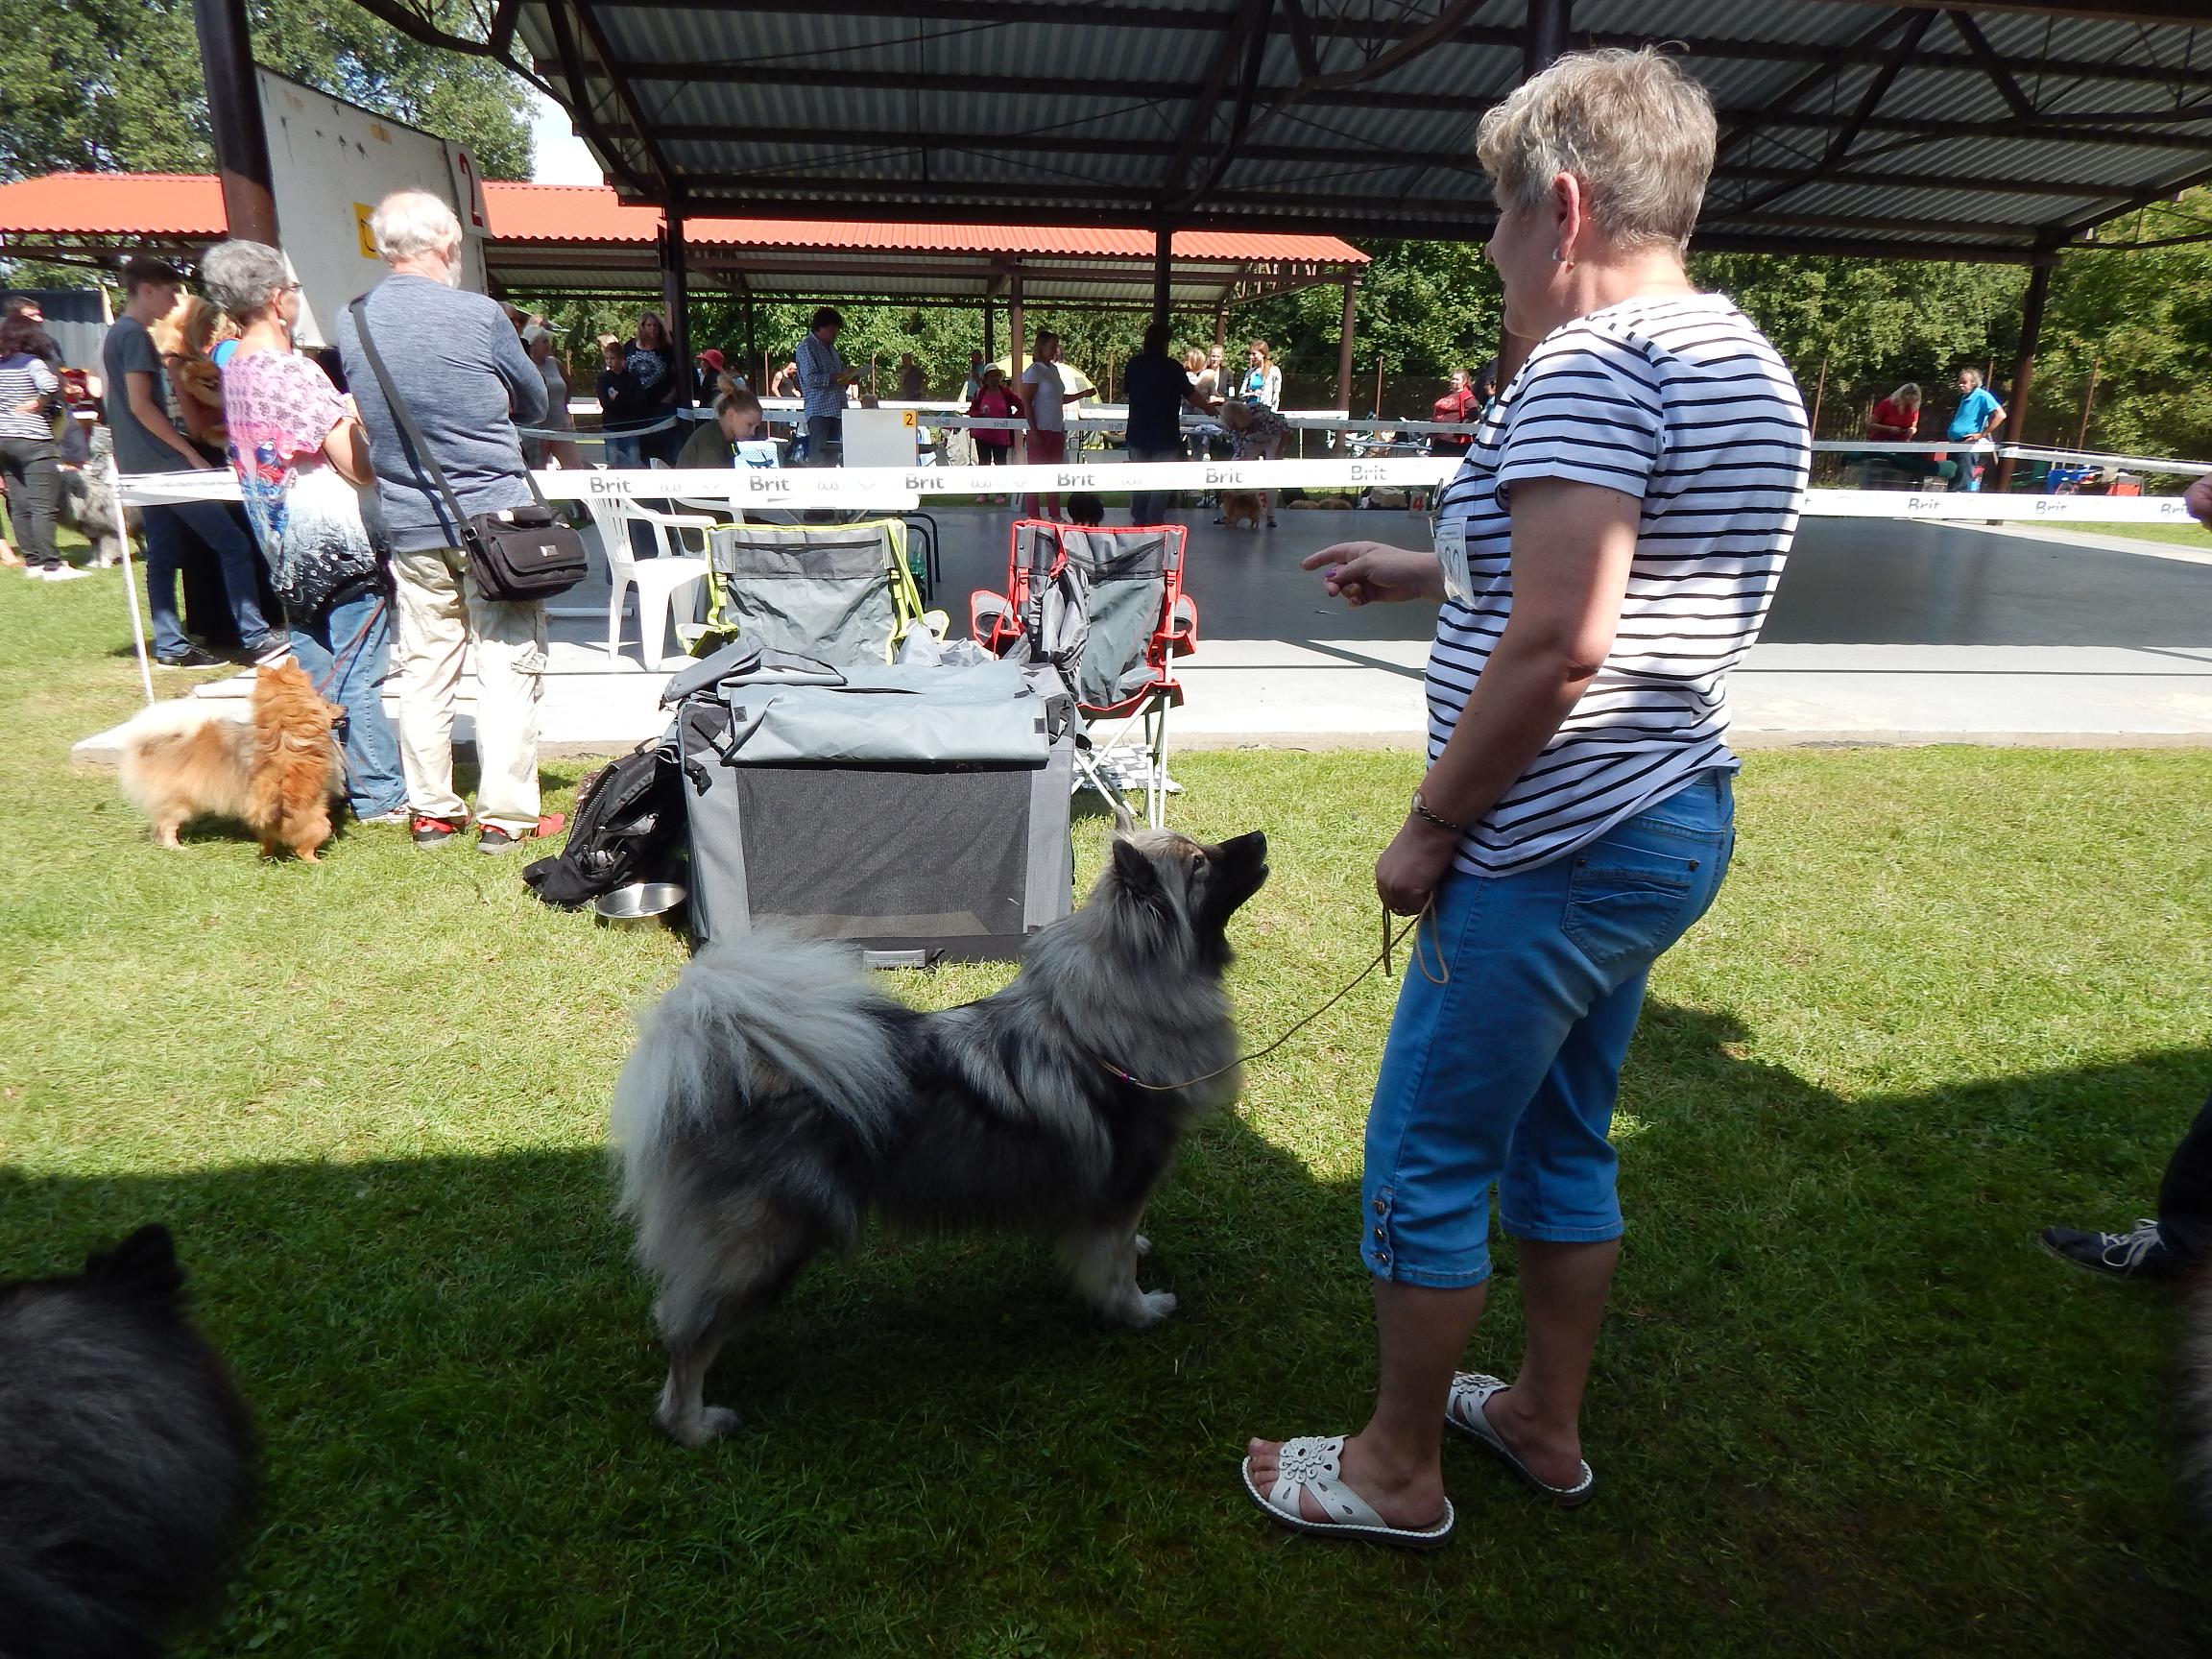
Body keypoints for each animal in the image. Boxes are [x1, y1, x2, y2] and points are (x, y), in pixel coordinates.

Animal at [118, 663, 345, 862]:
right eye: (327, 705)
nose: (344, 707)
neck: (285, 730)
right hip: (178, 800)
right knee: (166, 825)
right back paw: (177, 848)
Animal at [614, 827, 1274, 1451]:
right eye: (1200, 864)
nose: (1258, 840)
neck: (1113, 1013)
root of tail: (723, 1068)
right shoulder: (1125, 1182)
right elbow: (1112, 1268)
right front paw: (1138, 1311)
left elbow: (1120, 1244)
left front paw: (1138, 1256)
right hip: (764, 1247)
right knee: (690, 1342)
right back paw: (695, 1426)